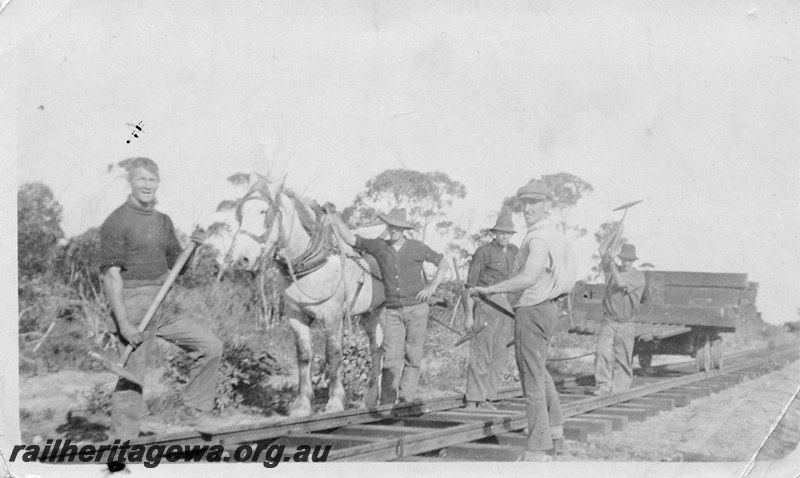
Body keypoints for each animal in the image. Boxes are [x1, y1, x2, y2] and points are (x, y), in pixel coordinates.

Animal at [228, 177, 384, 416]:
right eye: (241, 214)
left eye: (264, 212)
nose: (241, 258)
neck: (312, 260)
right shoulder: (296, 316)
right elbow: (303, 355)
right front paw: (301, 404)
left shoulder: (332, 316)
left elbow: (333, 355)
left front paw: (335, 401)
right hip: (371, 314)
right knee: (377, 347)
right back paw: (372, 398)